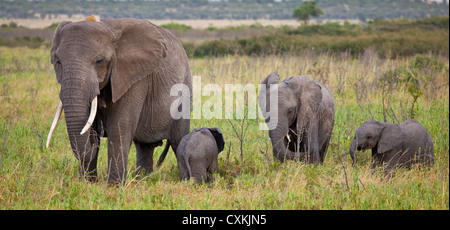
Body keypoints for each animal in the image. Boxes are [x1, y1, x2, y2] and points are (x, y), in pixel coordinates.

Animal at [45, 16, 192, 185]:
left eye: (99, 60)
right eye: (58, 62)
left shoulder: (135, 76)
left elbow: (119, 125)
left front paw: (113, 186)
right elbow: (89, 127)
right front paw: (87, 184)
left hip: (184, 93)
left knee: (179, 141)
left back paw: (186, 182)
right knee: (145, 147)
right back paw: (141, 181)